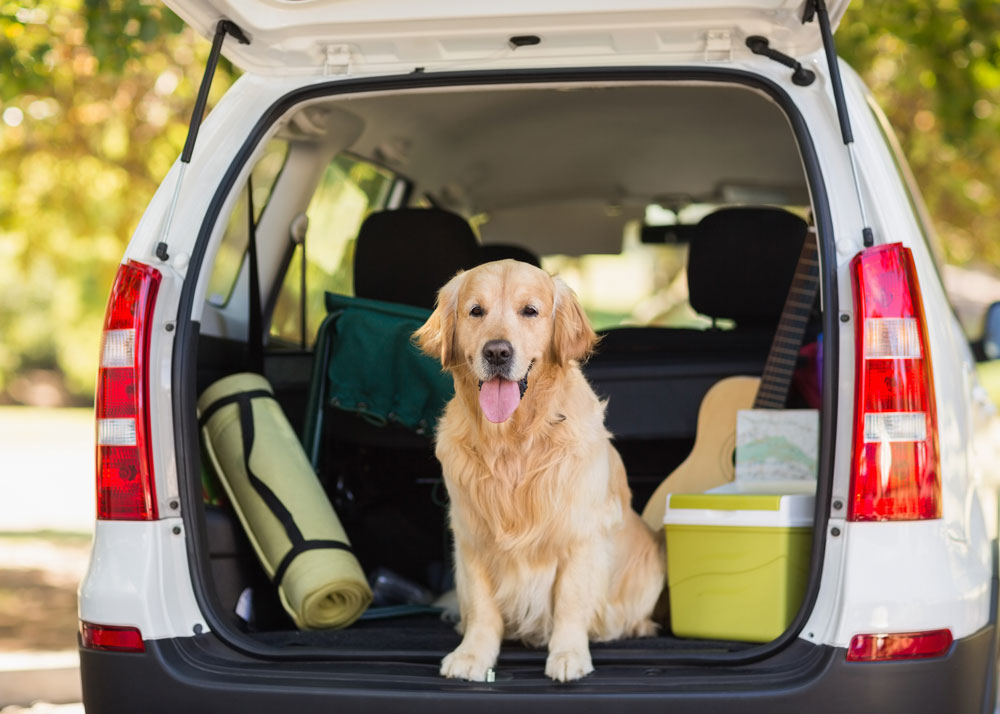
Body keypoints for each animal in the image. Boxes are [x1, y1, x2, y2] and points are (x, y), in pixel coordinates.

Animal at [414, 260, 664, 680]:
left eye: (529, 311)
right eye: (475, 311)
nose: (497, 351)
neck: (513, 442)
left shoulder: (580, 535)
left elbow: (571, 602)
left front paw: (568, 655)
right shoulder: (471, 535)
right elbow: (481, 606)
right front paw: (473, 655)